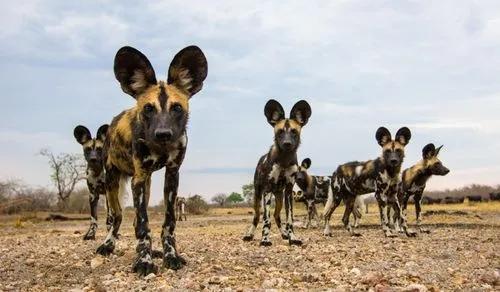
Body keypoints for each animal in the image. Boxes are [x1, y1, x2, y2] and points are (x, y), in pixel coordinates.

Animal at [95, 44, 207, 274]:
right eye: (148, 108)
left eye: (177, 108)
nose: (163, 134)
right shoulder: (138, 177)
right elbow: (142, 225)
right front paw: (144, 261)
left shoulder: (172, 175)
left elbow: (168, 223)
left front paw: (170, 255)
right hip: (113, 182)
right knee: (117, 218)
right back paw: (107, 245)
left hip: (145, 186)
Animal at [241, 99, 308, 245]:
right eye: (280, 132)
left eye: (294, 131)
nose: (287, 143)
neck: (284, 160)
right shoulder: (267, 190)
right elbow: (266, 219)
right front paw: (265, 240)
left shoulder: (288, 192)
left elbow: (289, 219)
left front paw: (292, 237)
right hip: (257, 196)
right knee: (257, 216)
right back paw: (249, 235)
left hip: (279, 198)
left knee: (277, 215)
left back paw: (284, 234)